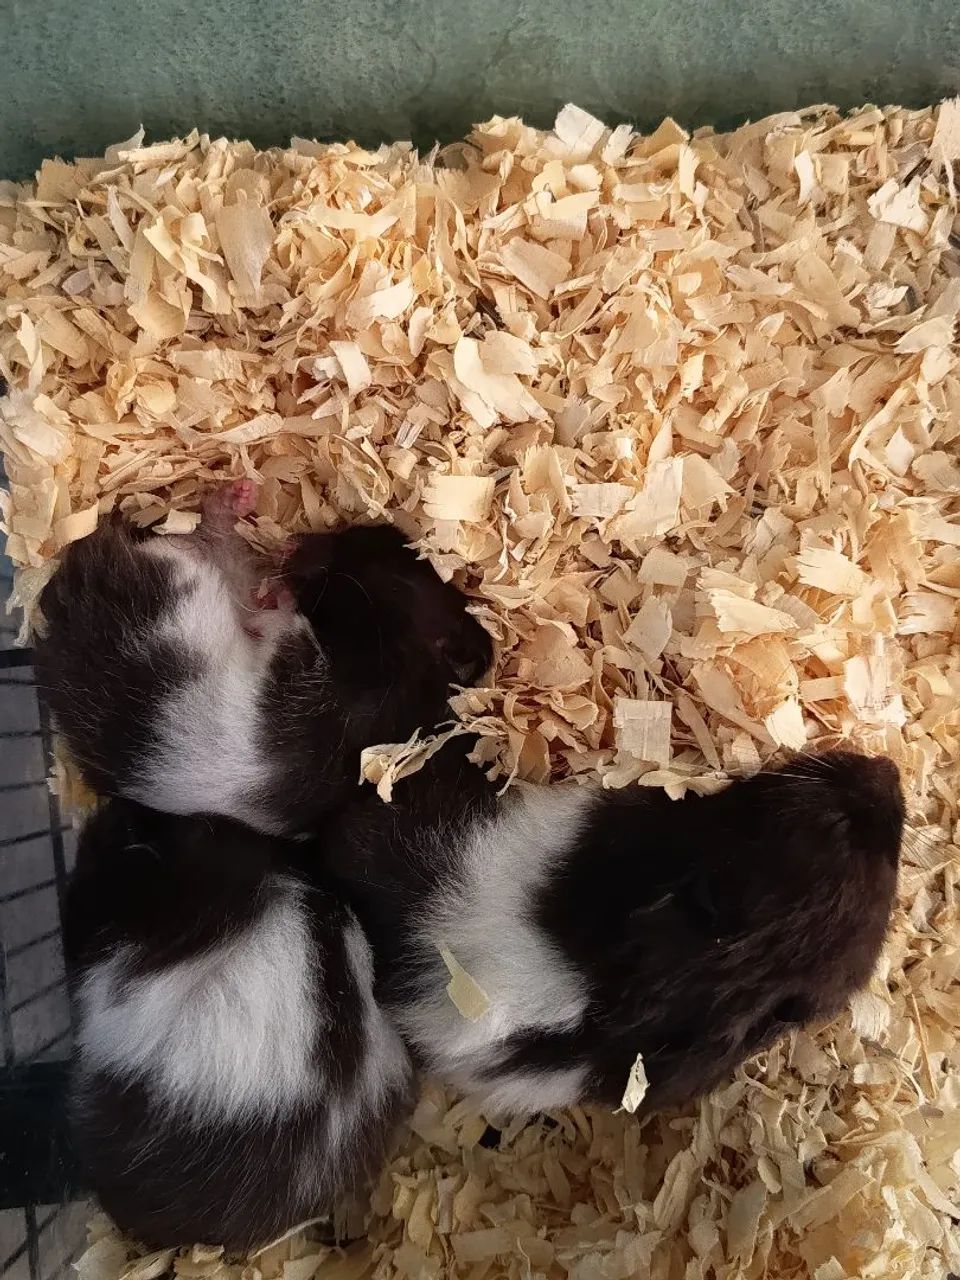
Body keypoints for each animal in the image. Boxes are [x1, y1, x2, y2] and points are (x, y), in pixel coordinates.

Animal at [34, 484, 491, 835]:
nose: (297, 542)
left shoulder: (294, 664)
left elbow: (277, 625)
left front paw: (279, 594)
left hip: (179, 570)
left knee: (212, 540)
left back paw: (234, 504)